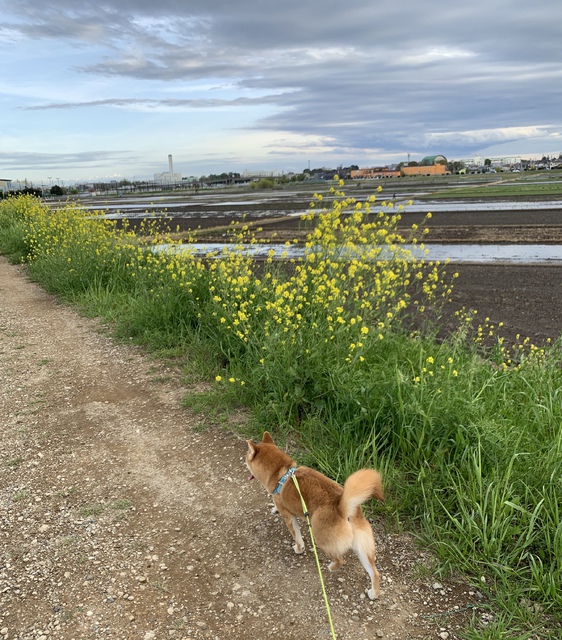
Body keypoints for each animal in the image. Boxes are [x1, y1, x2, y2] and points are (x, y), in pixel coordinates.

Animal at [244, 430, 380, 600]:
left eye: (246, 457)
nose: (244, 463)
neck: (282, 473)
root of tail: (343, 508)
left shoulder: (289, 517)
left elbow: (297, 537)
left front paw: (298, 549)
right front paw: (274, 509)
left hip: (321, 538)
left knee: (340, 559)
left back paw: (332, 567)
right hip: (362, 548)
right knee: (374, 573)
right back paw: (373, 593)